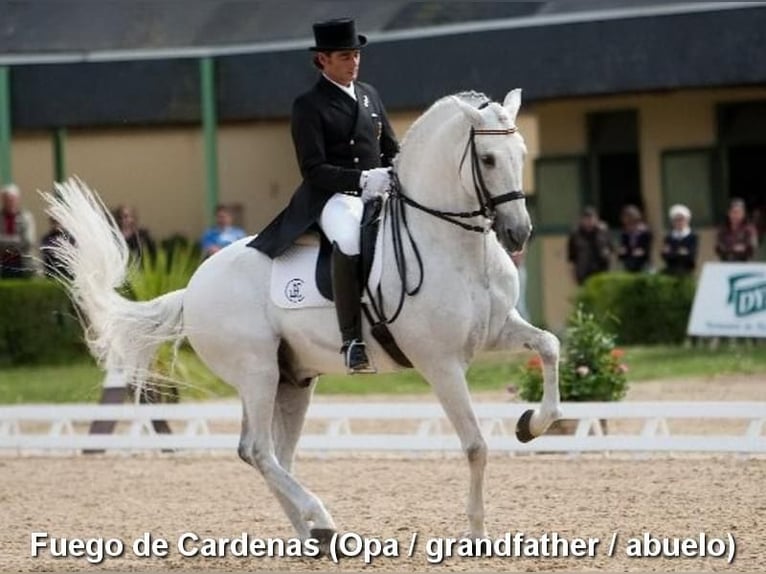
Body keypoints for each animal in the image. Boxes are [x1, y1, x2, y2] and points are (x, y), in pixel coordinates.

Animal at [45, 89, 564, 544]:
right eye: (489, 159)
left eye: (521, 151)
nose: (518, 233)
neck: (453, 245)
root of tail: (192, 287)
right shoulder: (441, 362)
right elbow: (476, 445)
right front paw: (476, 531)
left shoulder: (496, 332)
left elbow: (549, 346)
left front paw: (532, 424)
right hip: (256, 371)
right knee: (257, 450)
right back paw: (320, 516)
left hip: (292, 379)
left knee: (278, 454)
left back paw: (313, 534)